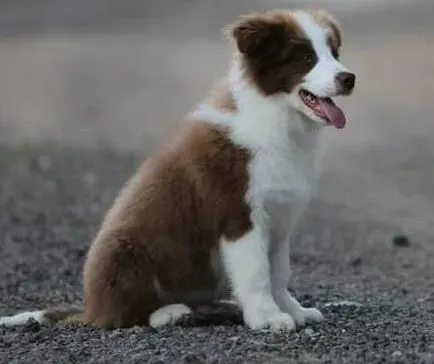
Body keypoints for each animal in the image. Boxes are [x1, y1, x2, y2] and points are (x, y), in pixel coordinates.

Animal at [0, 8, 356, 332]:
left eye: (335, 53)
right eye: (305, 56)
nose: (349, 78)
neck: (279, 118)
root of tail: (89, 308)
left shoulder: (280, 218)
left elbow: (279, 273)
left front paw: (292, 310)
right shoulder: (239, 215)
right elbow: (257, 272)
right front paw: (267, 318)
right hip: (125, 252)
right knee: (124, 316)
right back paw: (170, 313)